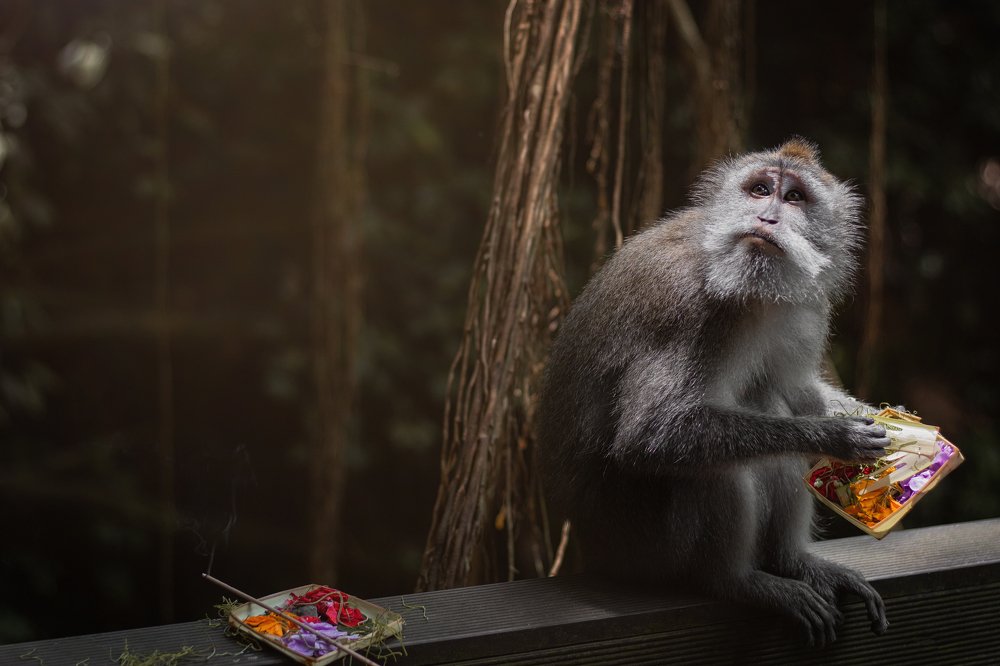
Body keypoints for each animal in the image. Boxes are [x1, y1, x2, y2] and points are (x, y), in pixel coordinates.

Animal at [537, 139, 890, 646]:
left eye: (794, 198)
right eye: (759, 190)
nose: (767, 218)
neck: (750, 290)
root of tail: (592, 548)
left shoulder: (804, 304)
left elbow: (796, 388)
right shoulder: (690, 311)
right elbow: (651, 435)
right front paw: (835, 436)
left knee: (766, 400)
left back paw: (792, 562)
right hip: (642, 547)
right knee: (714, 465)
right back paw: (736, 581)